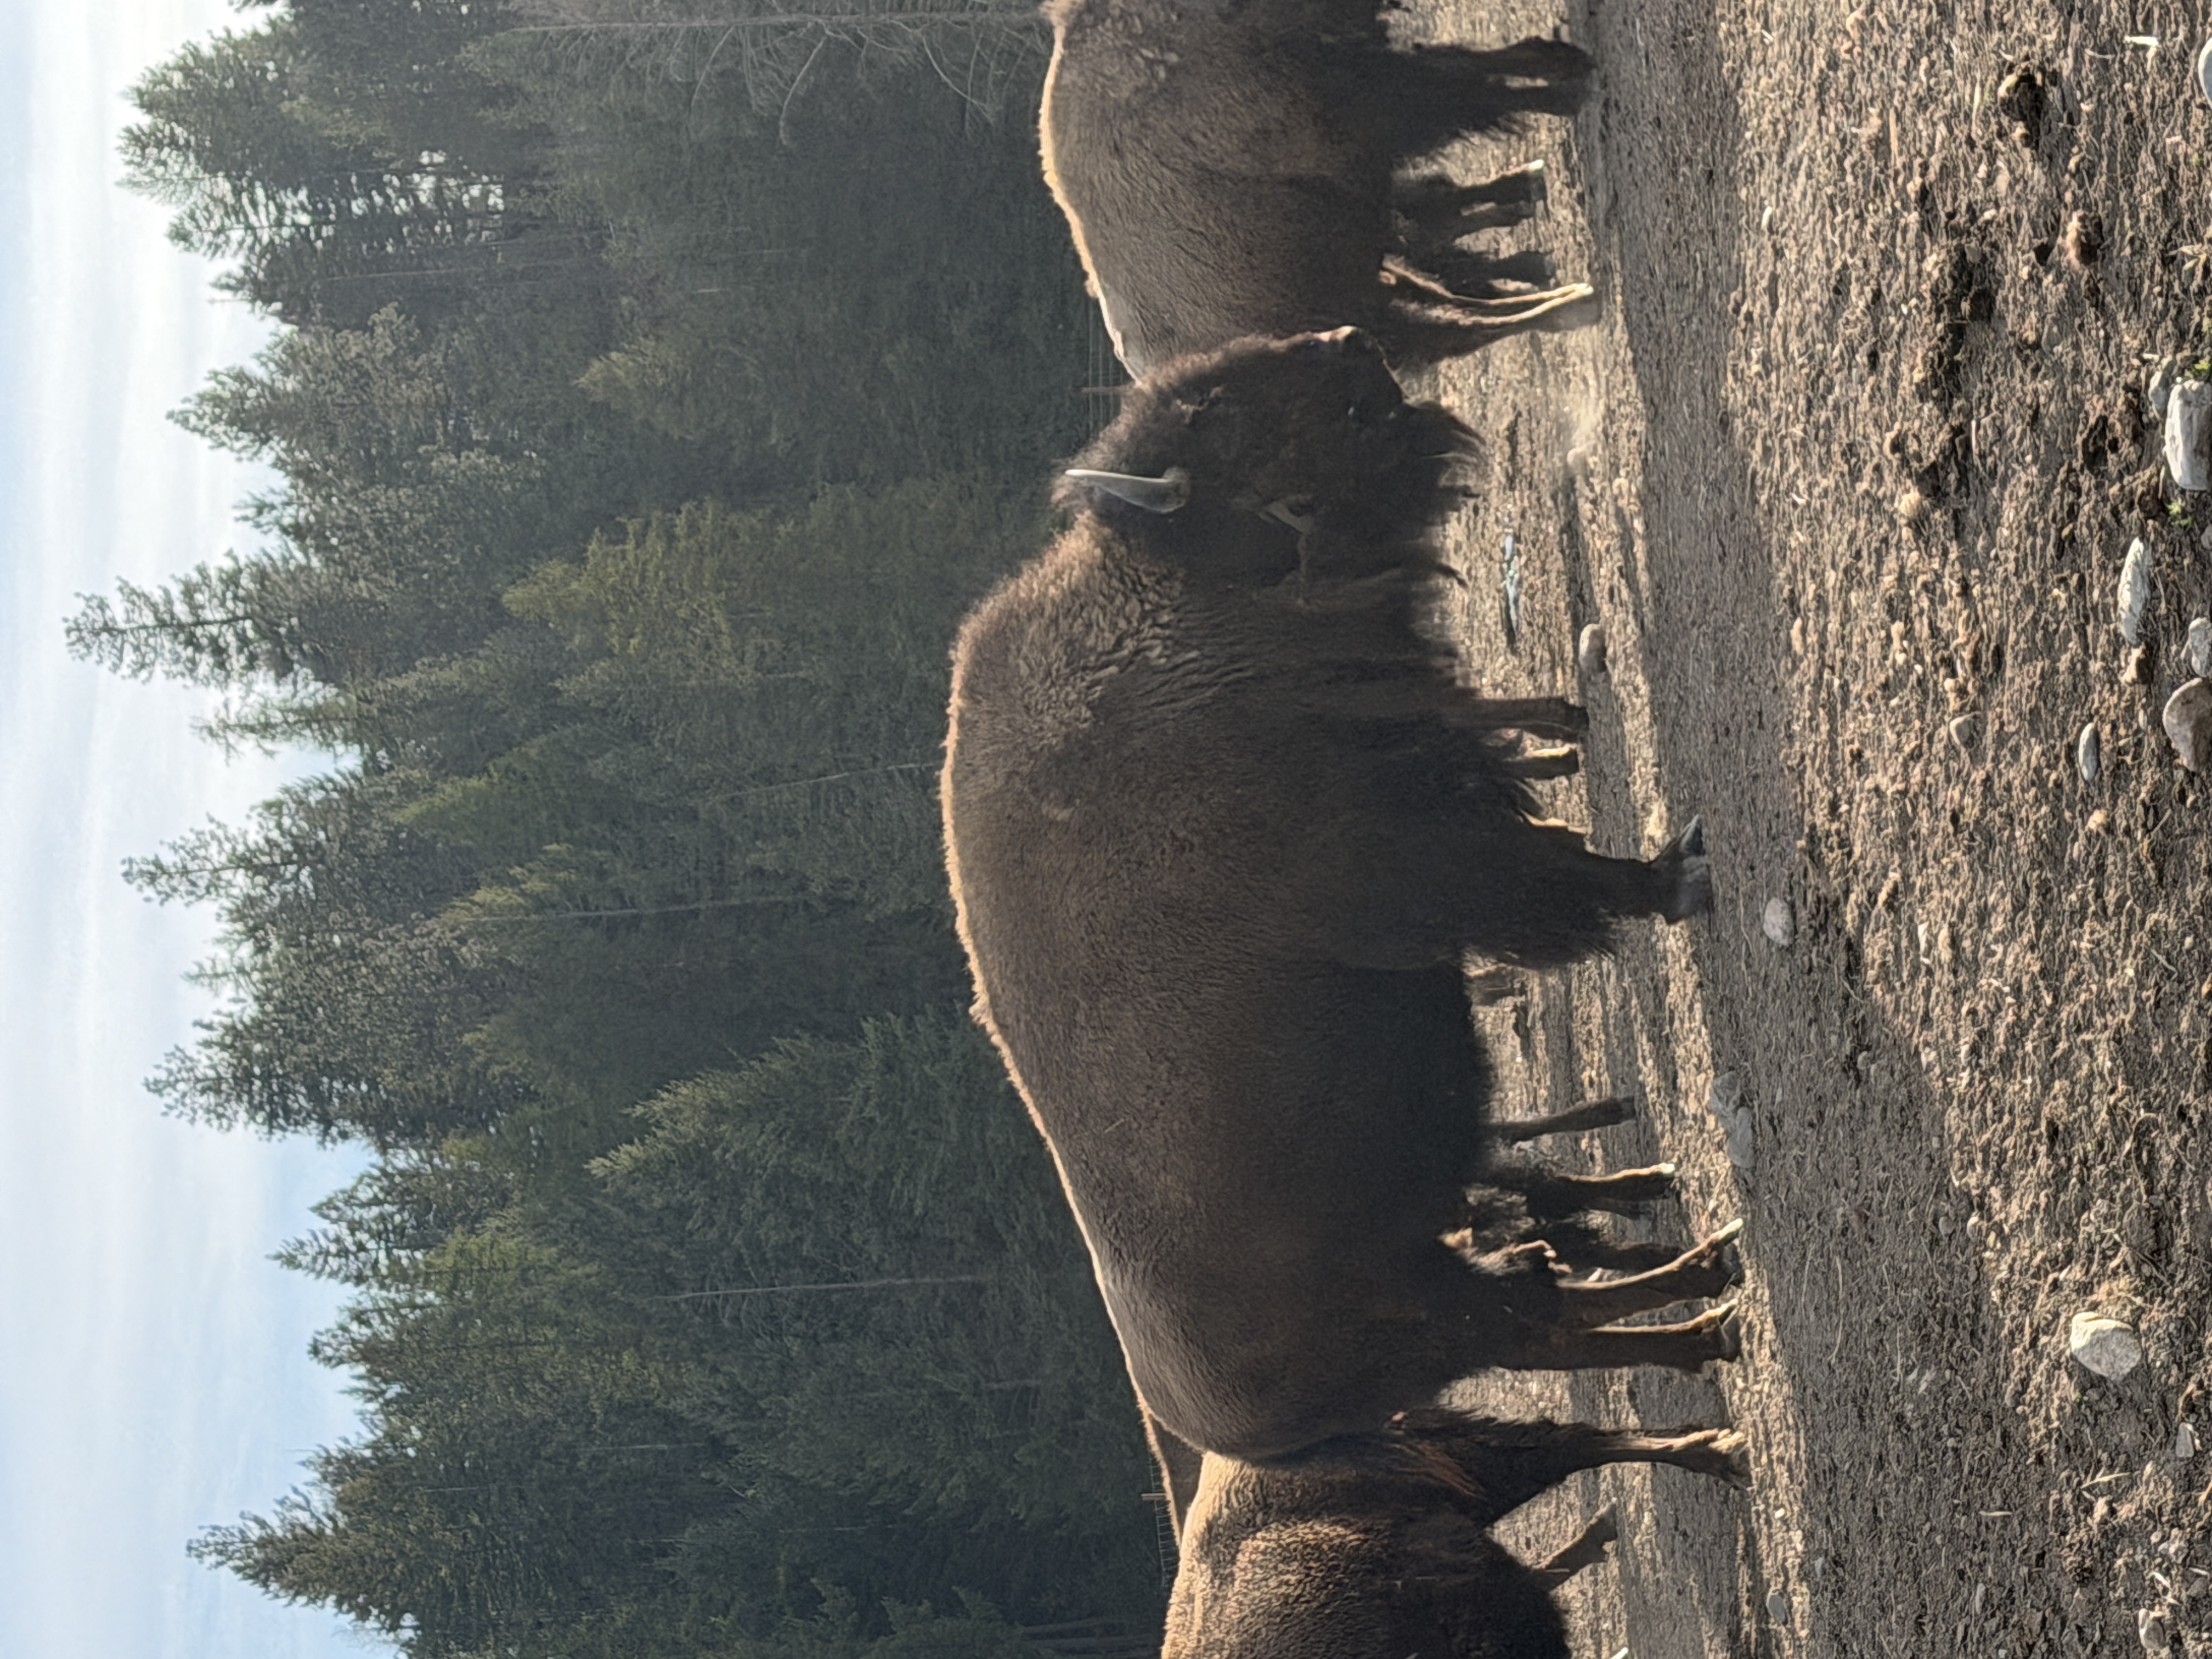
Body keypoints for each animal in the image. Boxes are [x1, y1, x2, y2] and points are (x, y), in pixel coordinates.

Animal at [941, 331, 1735, 1468]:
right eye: (1232, 424)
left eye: (1210, 396)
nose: (1348, 342)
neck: (1185, 606)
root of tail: (1219, 1433)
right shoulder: (1427, 863)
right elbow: (1568, 875)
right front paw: (1681, 873)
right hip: (1427, 1303)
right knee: (1544, 1319)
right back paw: (1708, 1311)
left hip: (1431, 1256)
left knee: (1550, 1299)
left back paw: (1700, 1285)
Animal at [1039, 0, 1600, 373]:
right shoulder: (1374, 106)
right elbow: (1474, 90)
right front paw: (1572, 83)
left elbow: (1476, 71)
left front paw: (1562, 63)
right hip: (1364, 304)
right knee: (1456, 322)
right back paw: (1574, 299)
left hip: (1364, 278)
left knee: (1454, 301)